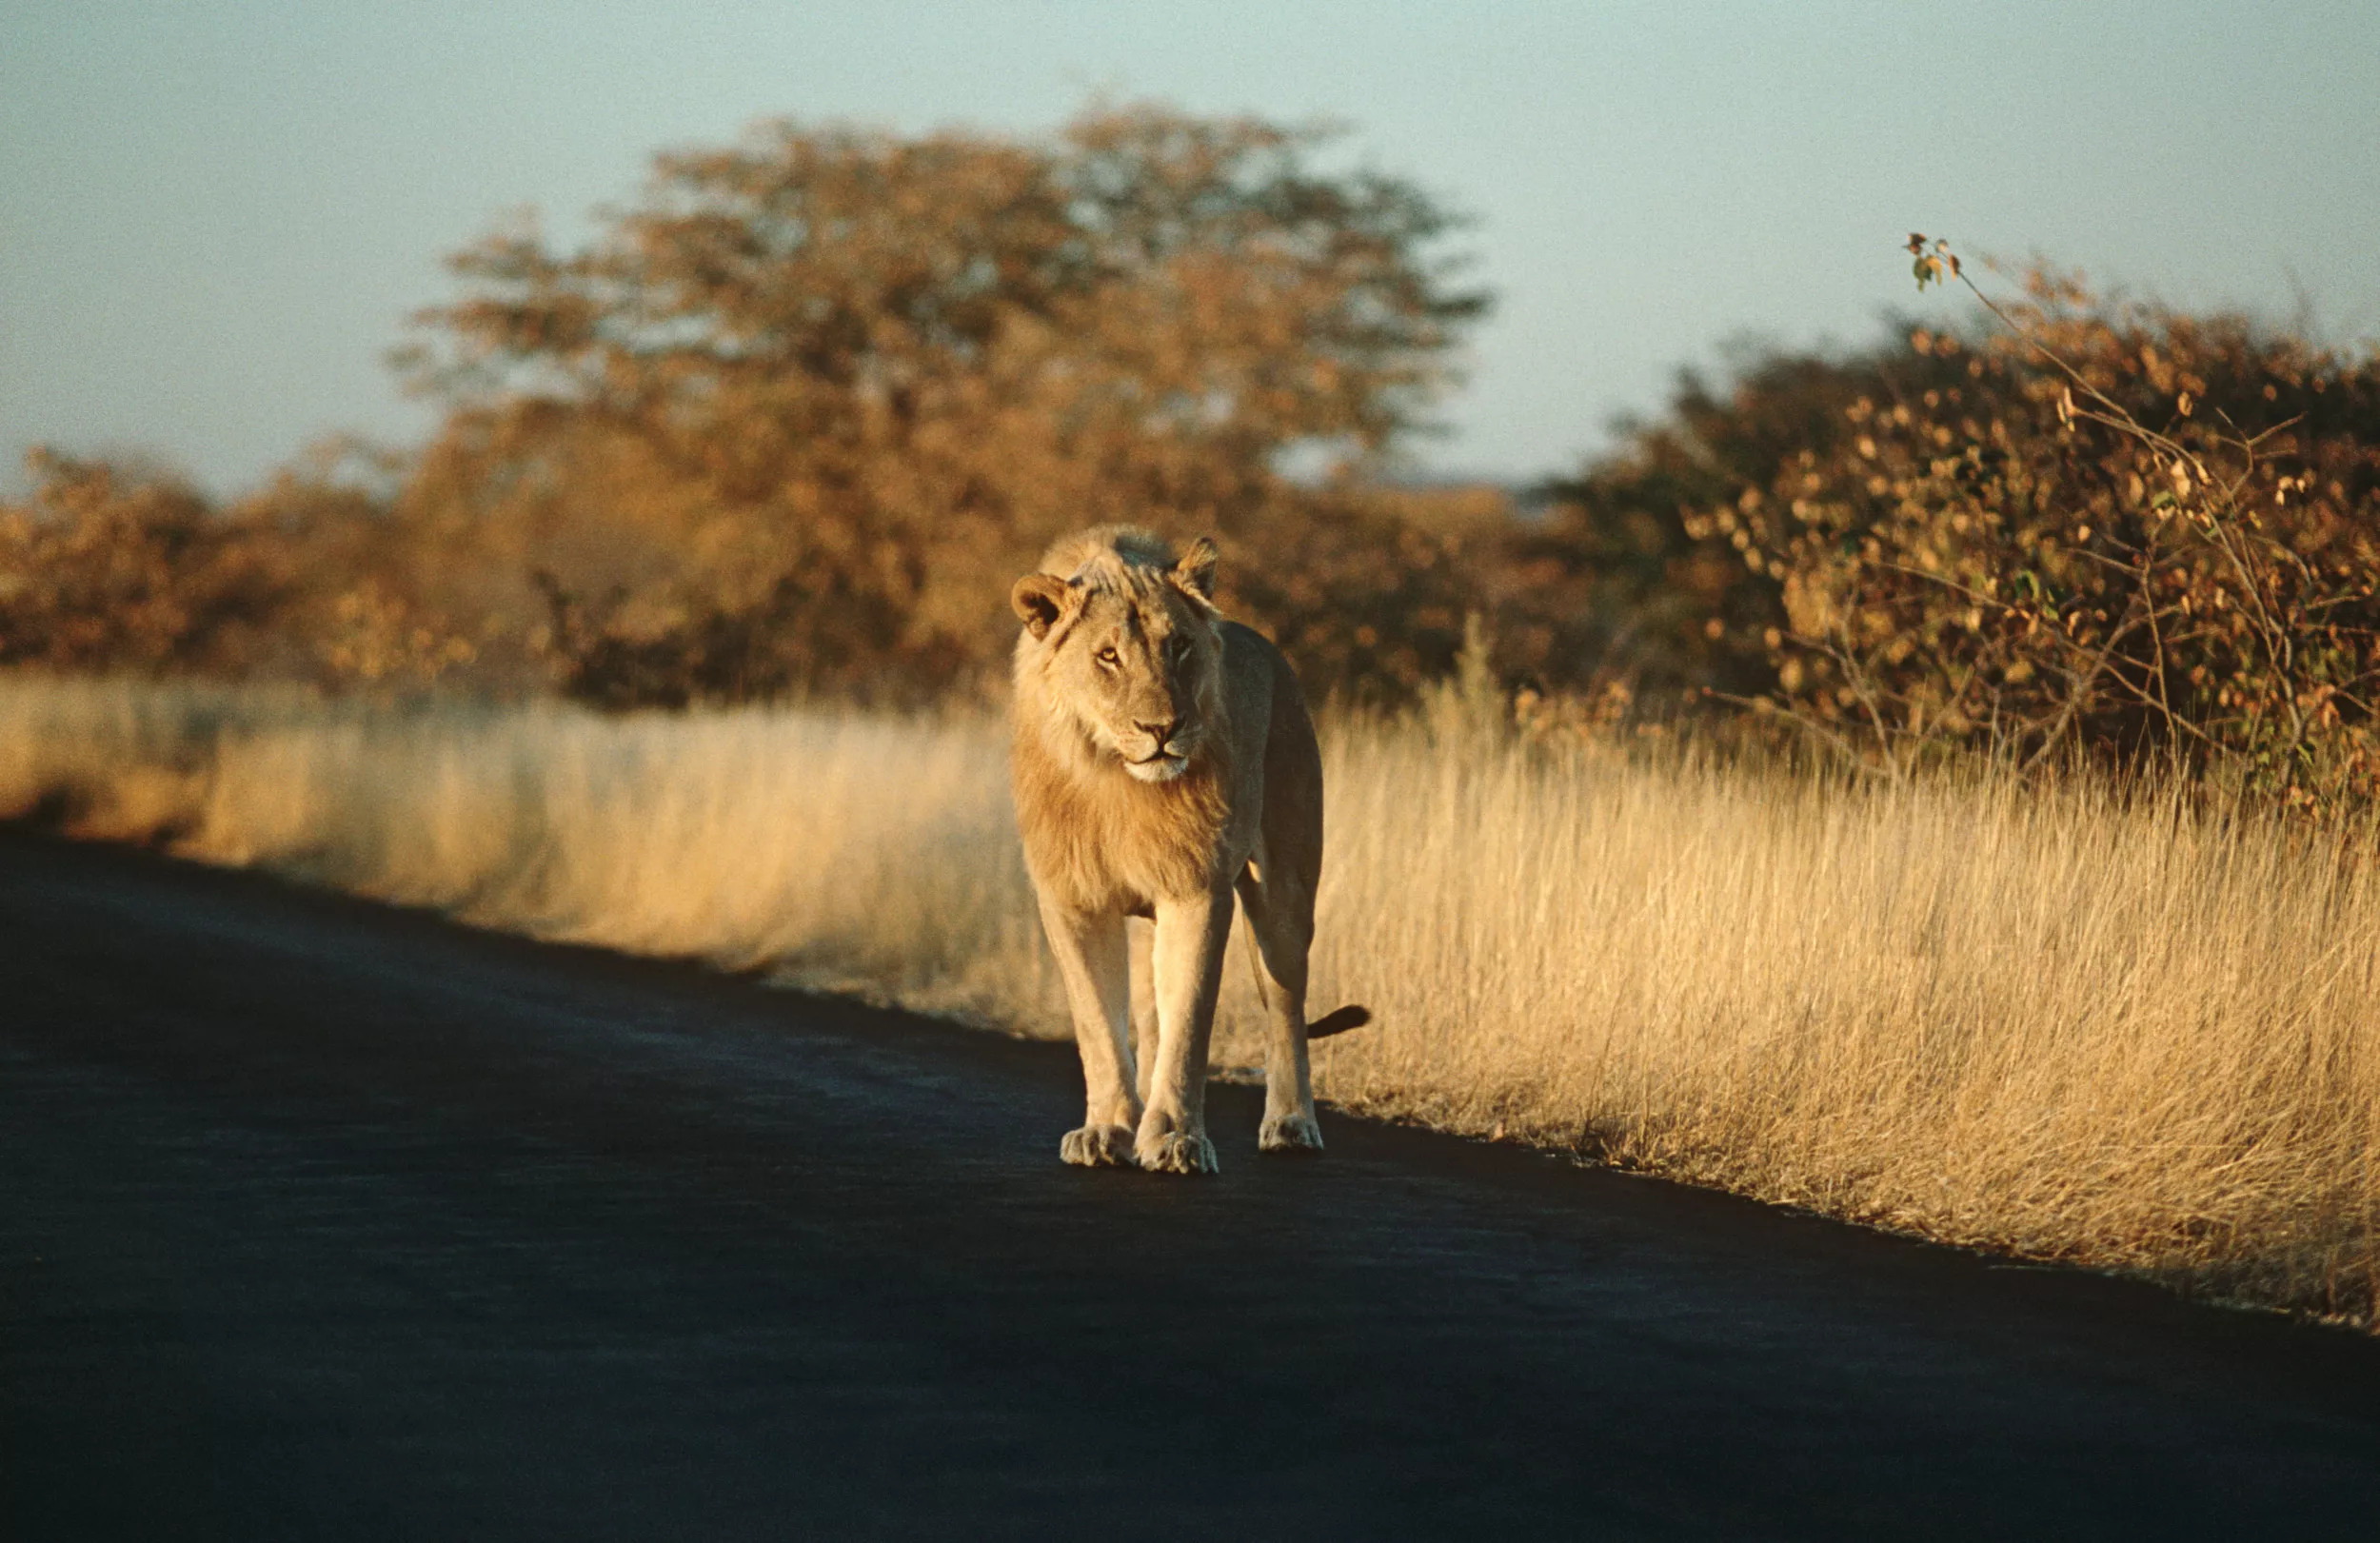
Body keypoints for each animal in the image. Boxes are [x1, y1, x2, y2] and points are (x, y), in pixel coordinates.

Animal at [1009, 525, 1367, 1175]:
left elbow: (1190, 1024)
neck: (1117, 781)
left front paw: (1175, 1138)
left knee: (1287, 1011)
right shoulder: (1072, 899)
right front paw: (1107, 1131)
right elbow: (1098, 1023)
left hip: (1285, 894)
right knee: (1150, 1016)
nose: (1163, 729)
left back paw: (1291, 1124)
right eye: (1108, 656)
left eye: (1178, 646)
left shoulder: (1198, 889)